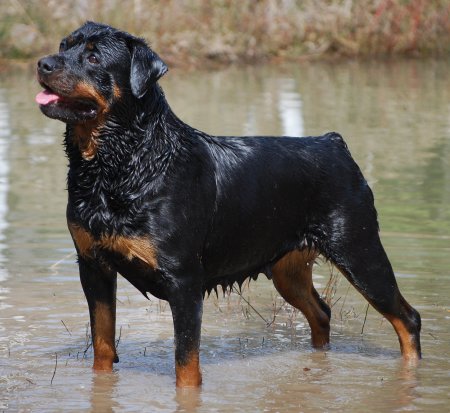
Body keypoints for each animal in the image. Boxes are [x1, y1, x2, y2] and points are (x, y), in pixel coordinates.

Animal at [36, 22, 421, 387]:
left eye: (94, 57)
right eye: (63, 46)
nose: (43, 63)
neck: (119, 165)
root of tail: (333, 143)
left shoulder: (184, 280)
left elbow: (186, 364)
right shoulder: (93, 265)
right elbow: (102, 347)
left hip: (359, 251)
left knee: (407, 318)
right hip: (289, 269)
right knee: (322, 312)